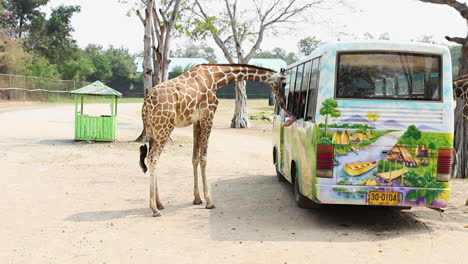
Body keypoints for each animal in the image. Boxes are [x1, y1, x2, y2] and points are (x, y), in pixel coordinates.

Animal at [138, 64, 296, 217]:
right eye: (284, 83)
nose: (283, 103)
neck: (215, 78)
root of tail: (146, 105)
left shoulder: (197, 121)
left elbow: (195, 158)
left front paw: (197, 199)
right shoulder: (208, 116)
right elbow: (203, 158)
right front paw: (209, 201)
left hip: (153, 131)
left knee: (151, 158)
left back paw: (159, 204)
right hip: (164, 127)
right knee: (152, 158)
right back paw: (154, 209)